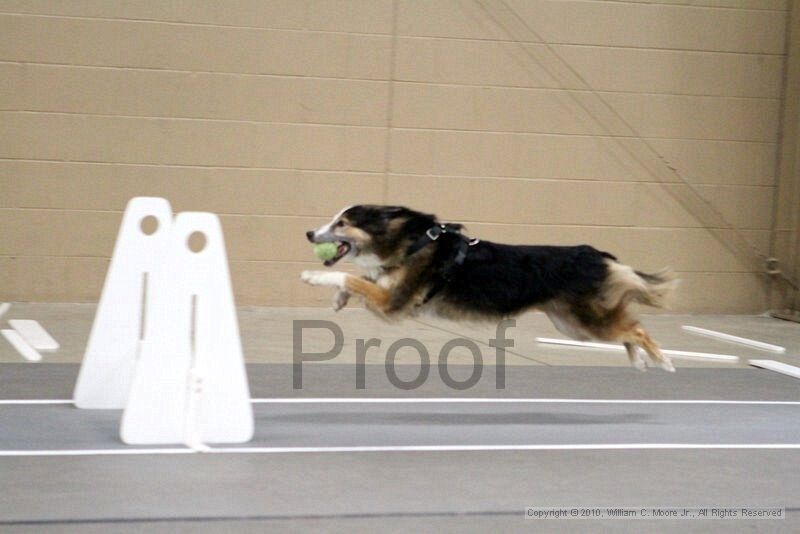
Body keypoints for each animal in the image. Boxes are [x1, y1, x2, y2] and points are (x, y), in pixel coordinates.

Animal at [304, 205, 680, 372]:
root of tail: (595, 254)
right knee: (628, 328)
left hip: (586, 321)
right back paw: (639, 360)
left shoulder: (393, 303)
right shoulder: (389, 294)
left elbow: (351, 277)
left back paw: (662, 360)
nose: (309, 233)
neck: (410, 241)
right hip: (573, 325)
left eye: (342, 223)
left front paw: (313, 277)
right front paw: (338, 298)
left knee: (635, 328)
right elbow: (362, 280)